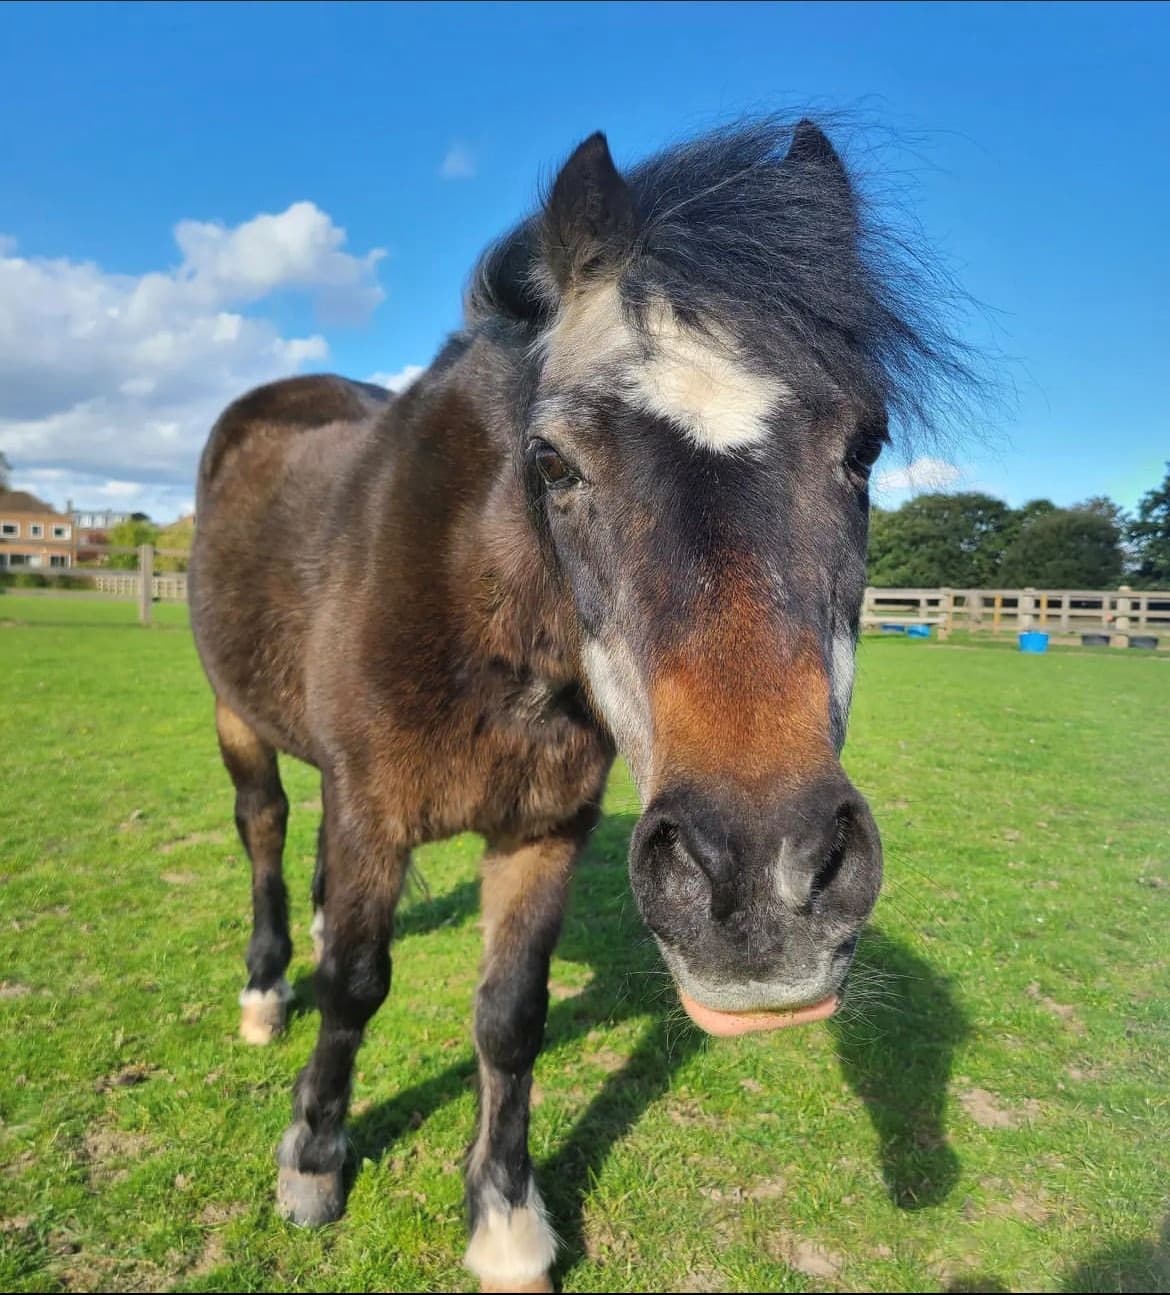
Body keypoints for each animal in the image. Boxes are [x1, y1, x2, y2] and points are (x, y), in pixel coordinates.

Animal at [189, 117, 968, 1291]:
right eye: (552, 461)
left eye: (864, 446)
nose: (766, 886)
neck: (482, 621)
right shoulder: (374, 809)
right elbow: (358, 986)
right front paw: (314, 1159)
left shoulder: (544, 828)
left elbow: (511, 1015)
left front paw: (507, 1217)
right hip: (240, 722)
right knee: (267, 831)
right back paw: (265, 991)